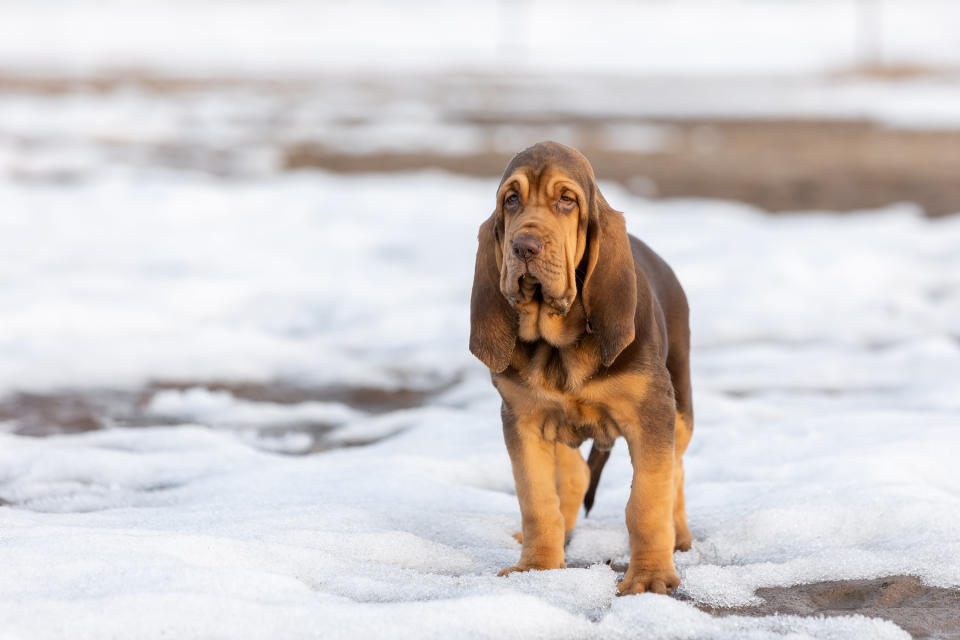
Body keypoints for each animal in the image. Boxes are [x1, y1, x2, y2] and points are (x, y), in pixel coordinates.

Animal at [468, 140, 692, 596]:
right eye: (511, 200)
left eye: (567, 200)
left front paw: (649, 578)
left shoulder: (652, 413)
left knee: (676, 468)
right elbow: (537, 500)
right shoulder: (522, 419)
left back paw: (679, 536)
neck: (558, 345)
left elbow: (647, 499)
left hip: (681, 407)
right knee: (573, 478)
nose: (525, 246)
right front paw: (537, 567)